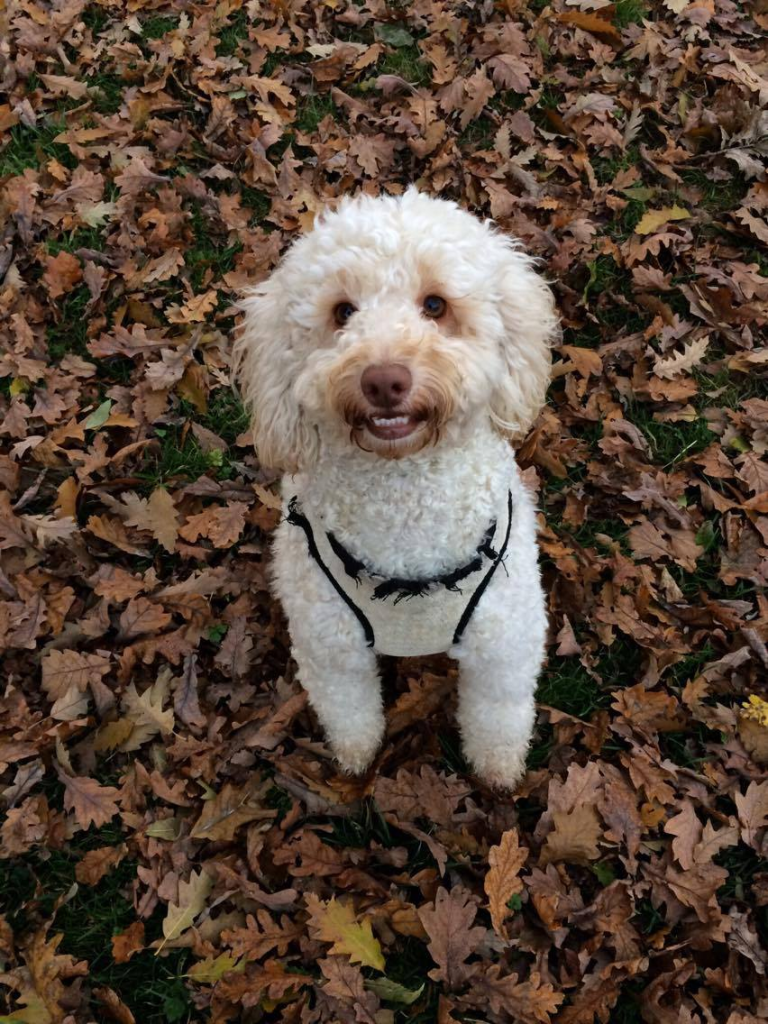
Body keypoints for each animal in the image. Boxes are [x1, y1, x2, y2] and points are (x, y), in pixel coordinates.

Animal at [236, 188, 561, 786]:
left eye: (435, 305)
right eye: (343, 312)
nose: (384, 380)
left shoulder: (505, 642)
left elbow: (498, 712)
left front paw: (498, 768)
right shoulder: (331, 646)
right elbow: (348, 707)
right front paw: (356, 754)